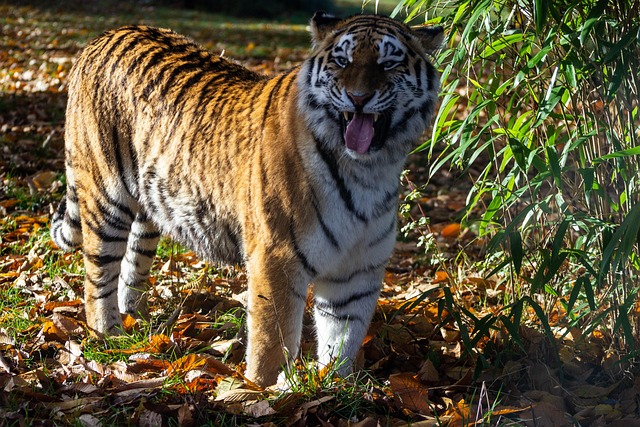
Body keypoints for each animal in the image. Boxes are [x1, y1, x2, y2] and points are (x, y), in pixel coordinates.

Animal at [50, 11, 442, 386]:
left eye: (388, 64)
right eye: (342, 61)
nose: (358, 98)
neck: (369, 170)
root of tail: (103, 36)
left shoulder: (357, 269)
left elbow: (343, 336)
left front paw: (335, 386)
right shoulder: (276, 256)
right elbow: (272, 338)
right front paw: (263, 391)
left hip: (151, 205)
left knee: (133, 262)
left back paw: (137, 322)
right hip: (106, 195)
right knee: (97, 276)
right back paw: (109, 336)